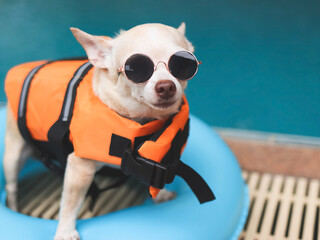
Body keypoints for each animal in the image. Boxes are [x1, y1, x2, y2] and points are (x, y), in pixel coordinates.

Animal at [4, 22, 195, 240]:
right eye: (135, 68)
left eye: (184, 64)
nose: (166, 86)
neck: (138, 120)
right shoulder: (79, 170)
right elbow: (69, 205)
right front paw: (65, 231)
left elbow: (153, 179)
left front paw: (162, 195)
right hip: (13, 156)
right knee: (11, 187)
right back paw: (14, 206)